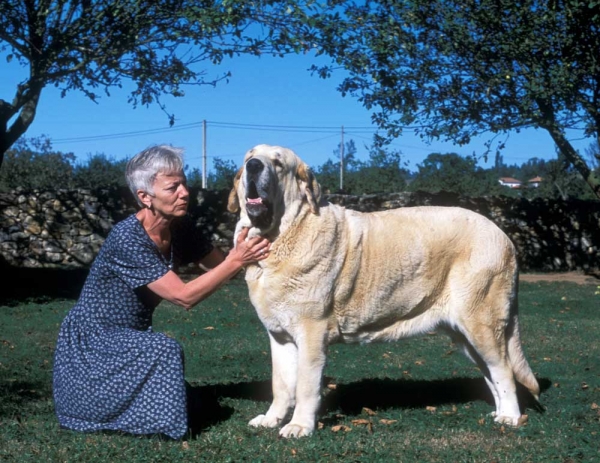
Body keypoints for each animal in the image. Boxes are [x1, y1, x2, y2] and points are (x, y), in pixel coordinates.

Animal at [227, 144, 540, 438]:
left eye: (278, 163)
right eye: (249, 157)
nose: (254, 166)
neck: (282, 235)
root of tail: (502, 234)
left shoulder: (311, 334)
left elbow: (305, 385)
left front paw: (300, 425)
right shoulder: (280, 337)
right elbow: (280, 384)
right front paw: (272, 419)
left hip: (481, 324)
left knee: (503, 370)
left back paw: (511, 417)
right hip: (465, 334)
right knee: (491, 373)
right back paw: (500, 413)